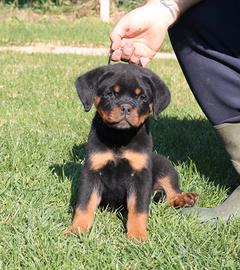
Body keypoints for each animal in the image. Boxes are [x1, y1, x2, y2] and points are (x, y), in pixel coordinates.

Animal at [64, 63, 198, 240]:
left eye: (142, 97)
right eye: (110, 93)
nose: (126, 107)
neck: (120, 137)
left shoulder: (140, 175)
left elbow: (139, 209)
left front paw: (138, 235)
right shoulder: (92, 171)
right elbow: (84, 205)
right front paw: (76, 230)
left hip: (165, 165)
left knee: (171, 192)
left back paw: (184, 198)